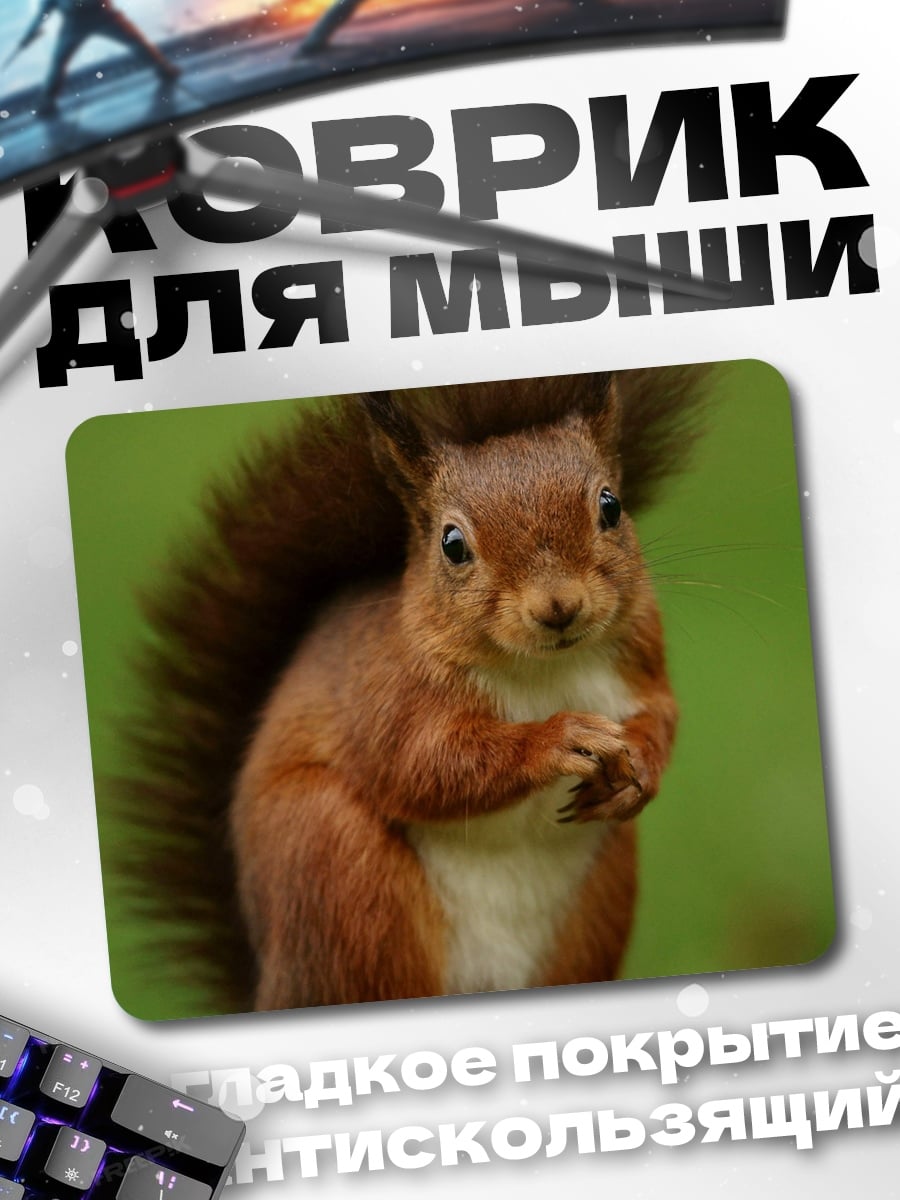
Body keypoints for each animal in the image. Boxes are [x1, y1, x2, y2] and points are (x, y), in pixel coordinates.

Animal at [120, 366, 709, 1014]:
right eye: (452, 544)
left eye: (611, 506)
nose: (559, 606)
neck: (540, 670)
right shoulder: (386, 692)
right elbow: (423, 765)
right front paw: (560, 738)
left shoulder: (639, 654)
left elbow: (663, 714)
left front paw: (640, 768)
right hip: (340, 874)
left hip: (595, 907)